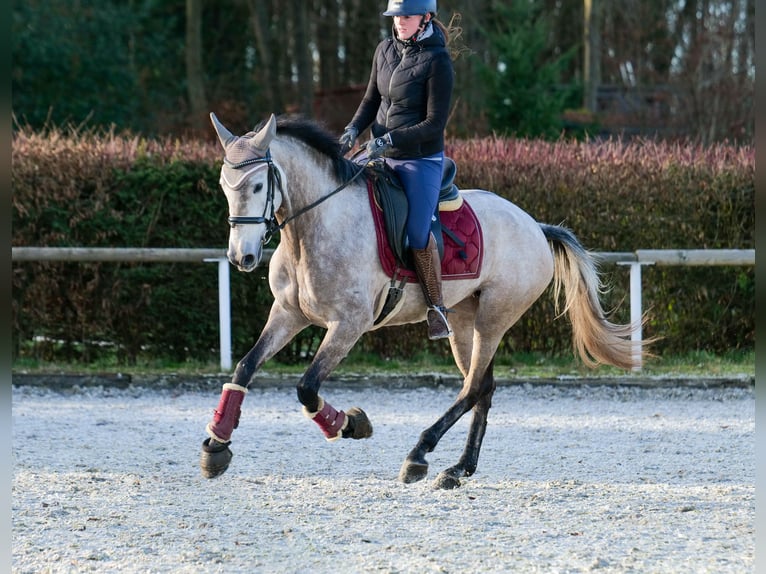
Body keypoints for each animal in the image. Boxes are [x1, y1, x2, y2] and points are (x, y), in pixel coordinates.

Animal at [200, 112, 648, 490]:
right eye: (224, 187)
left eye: (258, 186)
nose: (241, 258)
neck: (314, 228)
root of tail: (535, 225)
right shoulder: (288, 314)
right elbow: (244, 367)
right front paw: (217, 444)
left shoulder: (348, 324)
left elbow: (307, 387)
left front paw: (350, 424)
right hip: (463, 320)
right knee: (483, 387)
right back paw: (459, 468)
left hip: (494, 318)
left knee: (472, 388)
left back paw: (420, 453)